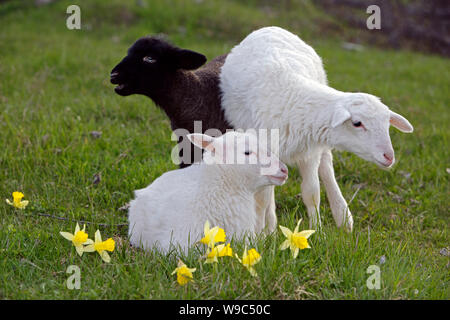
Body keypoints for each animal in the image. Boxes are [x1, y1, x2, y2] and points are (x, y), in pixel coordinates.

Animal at [220, 26, 414, 231]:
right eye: (357, 123)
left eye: (387, 123)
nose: (389, 156)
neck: (295, 97)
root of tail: (271, 27)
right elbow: (262, 200)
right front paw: (261, 232)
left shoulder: (310, 152)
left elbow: (312, 192)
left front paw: (317, 230)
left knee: (327, 167)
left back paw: (343, 216)